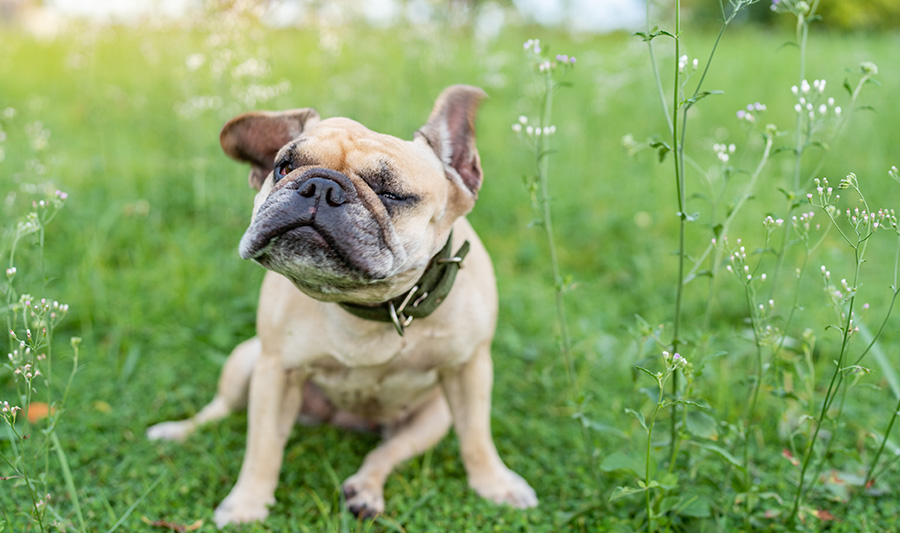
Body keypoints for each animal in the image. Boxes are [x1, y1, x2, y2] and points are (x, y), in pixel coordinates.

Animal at [149, 85, 536, 524]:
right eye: (283, 167)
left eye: (391, 194)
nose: (320, 186)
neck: (367, 303)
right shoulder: (275, 372)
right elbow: (262, 447)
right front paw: (247, 504)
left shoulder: (470, 371)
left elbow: (476, 438)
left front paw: (496, 485)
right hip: (246, 359)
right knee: (218, 409)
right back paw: (178, 430)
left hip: (432, 418)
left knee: (386, 453)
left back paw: (365, 491)